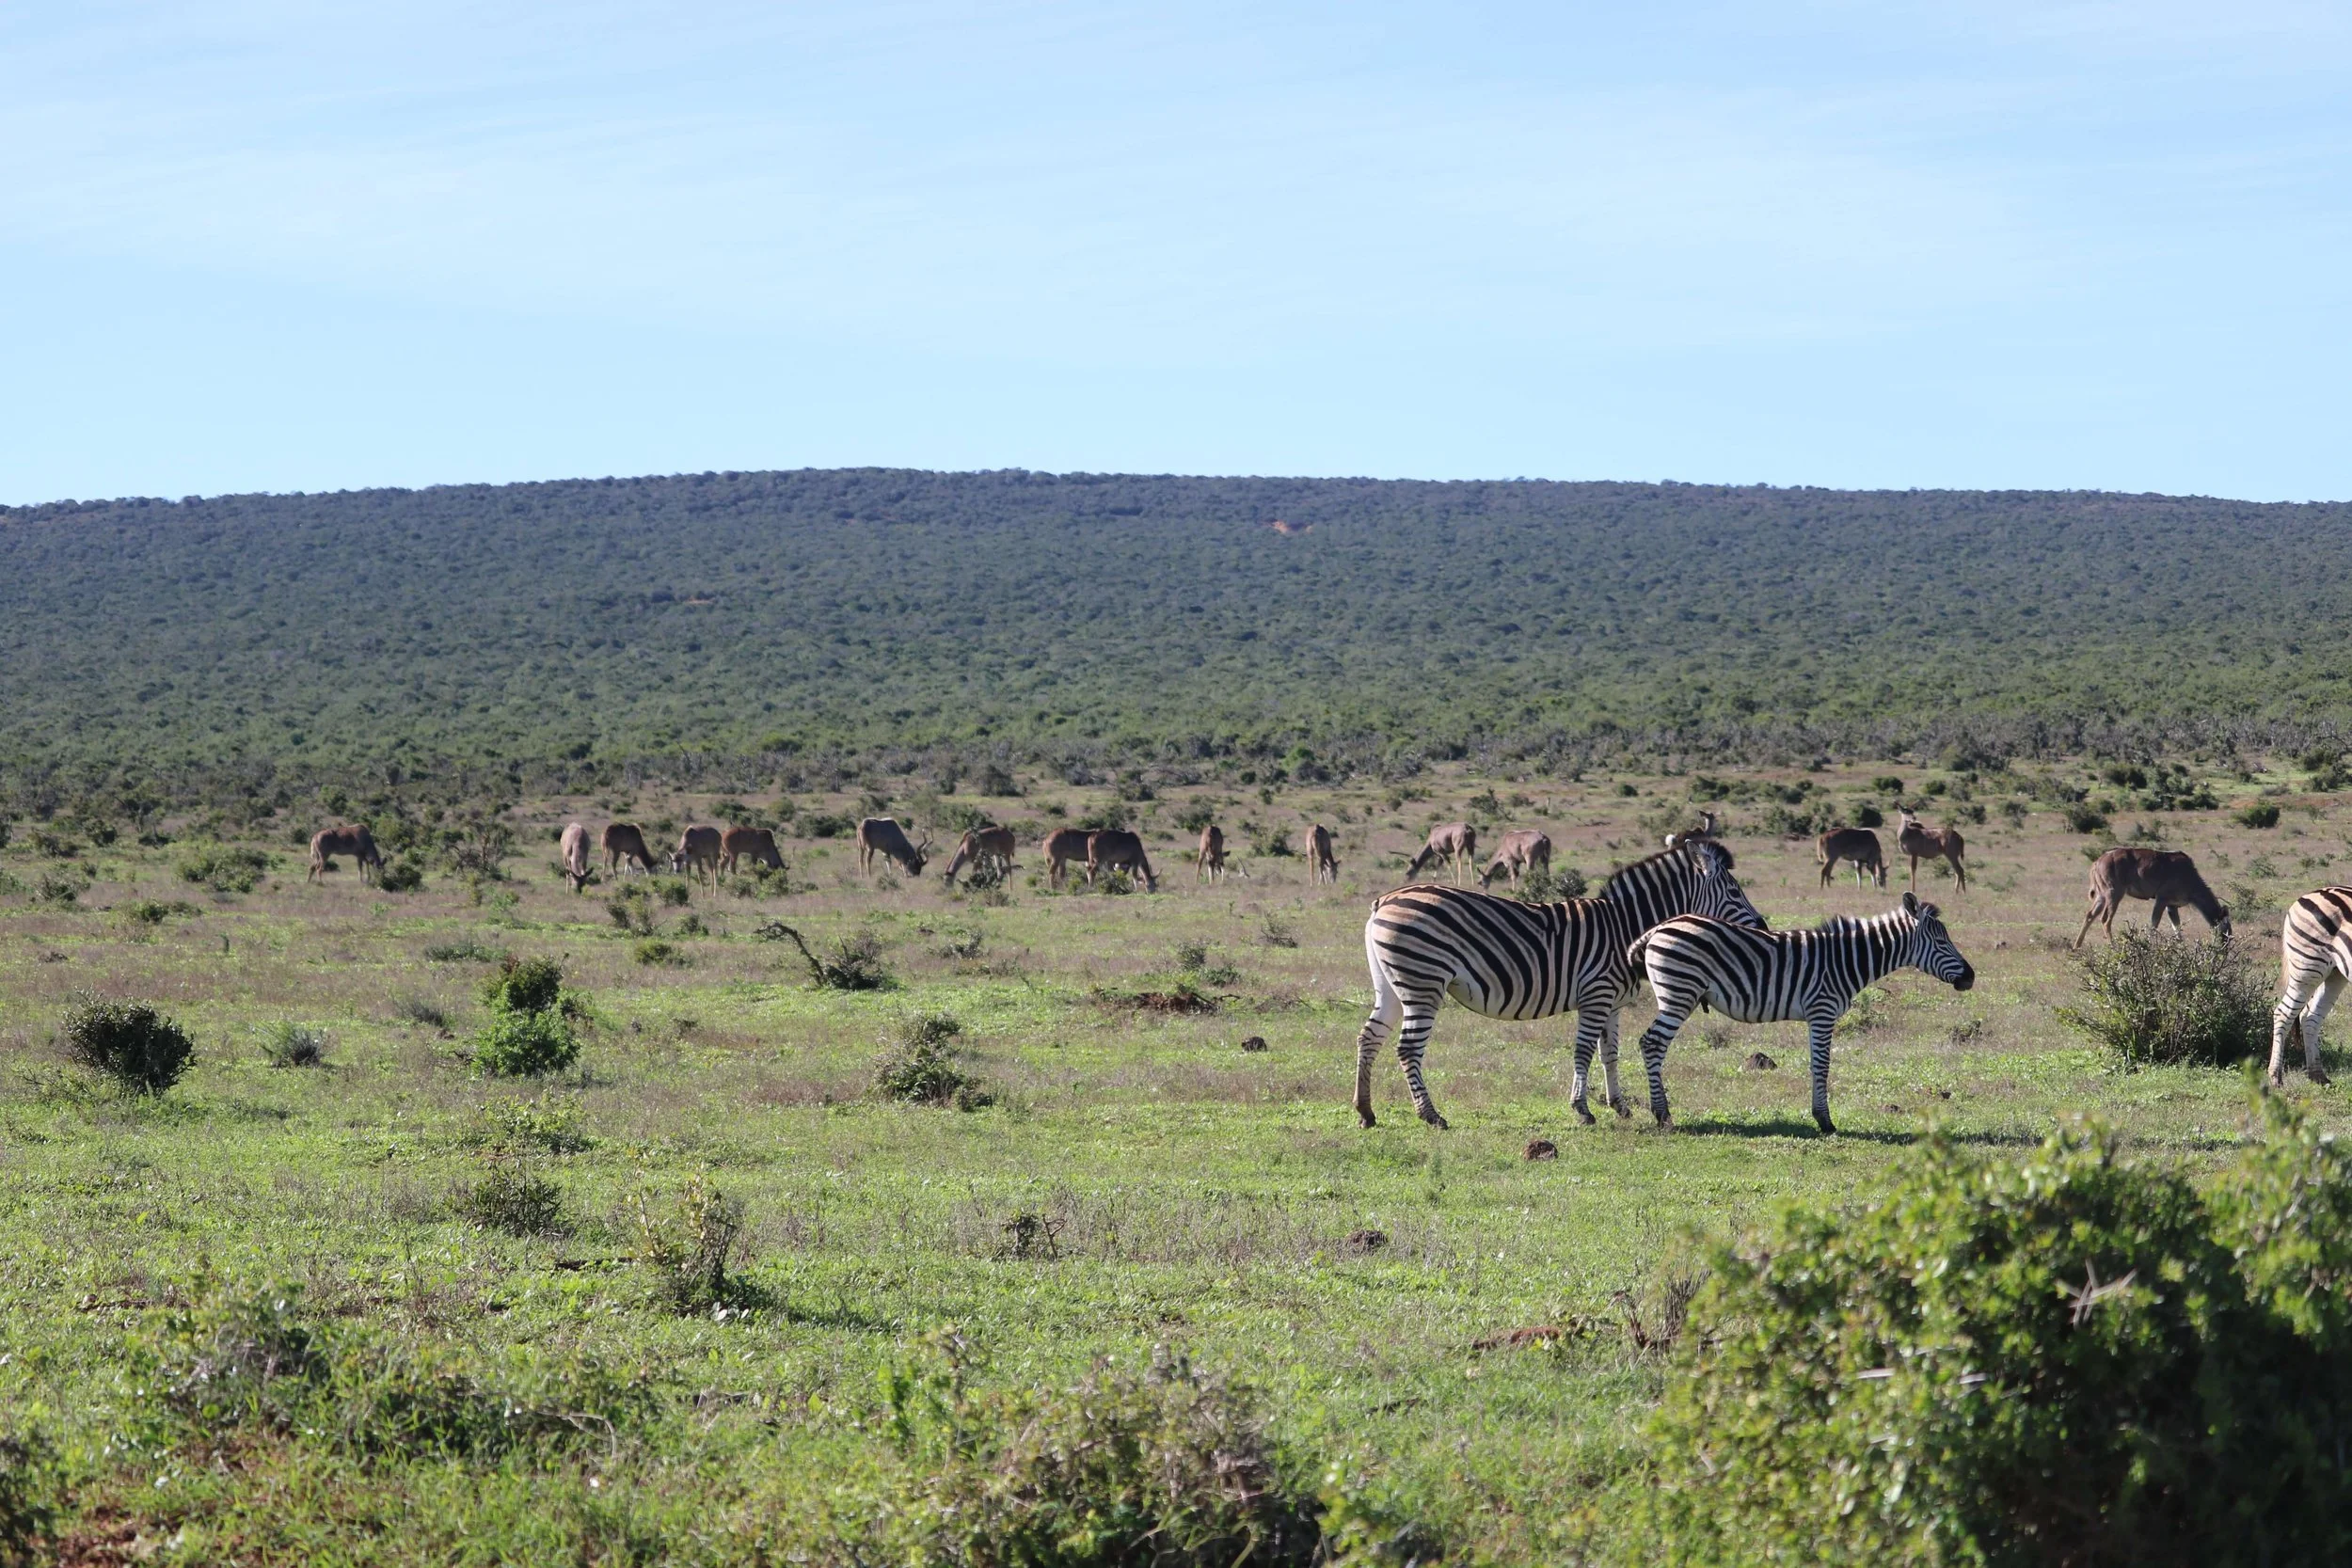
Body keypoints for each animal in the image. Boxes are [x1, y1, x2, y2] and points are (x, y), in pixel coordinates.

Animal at [1353, 840, 1765, 1129]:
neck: (1625, 928)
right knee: (1408, 1048)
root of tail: (1384, 900)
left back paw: (1366, 1112)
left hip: (1391, 986)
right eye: (1733, 891)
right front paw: (1582, 1110)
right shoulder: (1596, 995)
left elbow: (1609, 1053)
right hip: (1423, 983)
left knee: (1368, 1037)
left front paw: (1619, 1106)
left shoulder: (1613, 1002)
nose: (1762, 925)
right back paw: (1431, 1115)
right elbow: (1583, 1051)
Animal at [1627, 891, 1975, 1134]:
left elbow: (1814, 1064)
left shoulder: (1816, 1015)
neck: (1845, 960)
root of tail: (1661, 927)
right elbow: (1822, 1066)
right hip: (1679, 993)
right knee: (1652, 1043)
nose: (1970, 977)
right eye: (1941, 942)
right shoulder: (1823, 1010)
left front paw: (1820, 1116)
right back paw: (1663, 1116)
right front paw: (1825, 1121)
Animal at [2268, 886, 2350, 1086]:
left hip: (2335, 973)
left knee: (2310, 1017)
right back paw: (2275, 1076)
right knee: (2283, 1013)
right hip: (2308, 967)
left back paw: (2317, 1074)